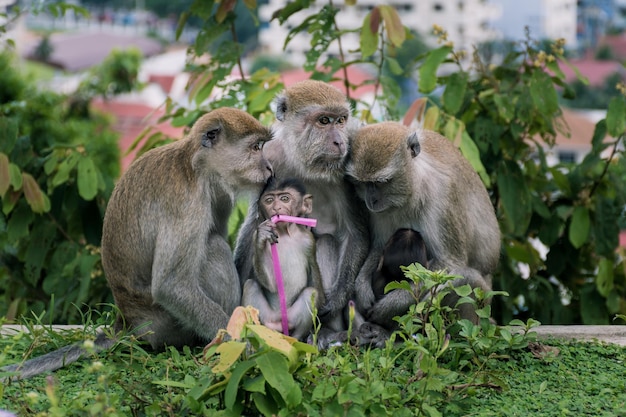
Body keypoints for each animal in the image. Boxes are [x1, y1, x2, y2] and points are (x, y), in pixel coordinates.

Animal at [1, 107, 272, 380]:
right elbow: (171, 285)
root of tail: (127, 322)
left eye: (262, 147)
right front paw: (242, 344)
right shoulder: (186, 203)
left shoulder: (219, 196)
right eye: (255, 148)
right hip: (166, 325)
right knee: (213, 248)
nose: (269, 167)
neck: (197, 167)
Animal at [240, 177, 324, 340]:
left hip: (291, 318)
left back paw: (296, 340)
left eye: (285, 199)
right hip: (266, 317)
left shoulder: (309, 241)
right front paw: (262, 236)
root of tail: (278, 324)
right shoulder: (255, 234)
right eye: (269, 200)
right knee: (250, 285)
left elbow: (316, 288)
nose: (276, 208)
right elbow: (271, 285)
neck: (285, 234)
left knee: (311, 292)